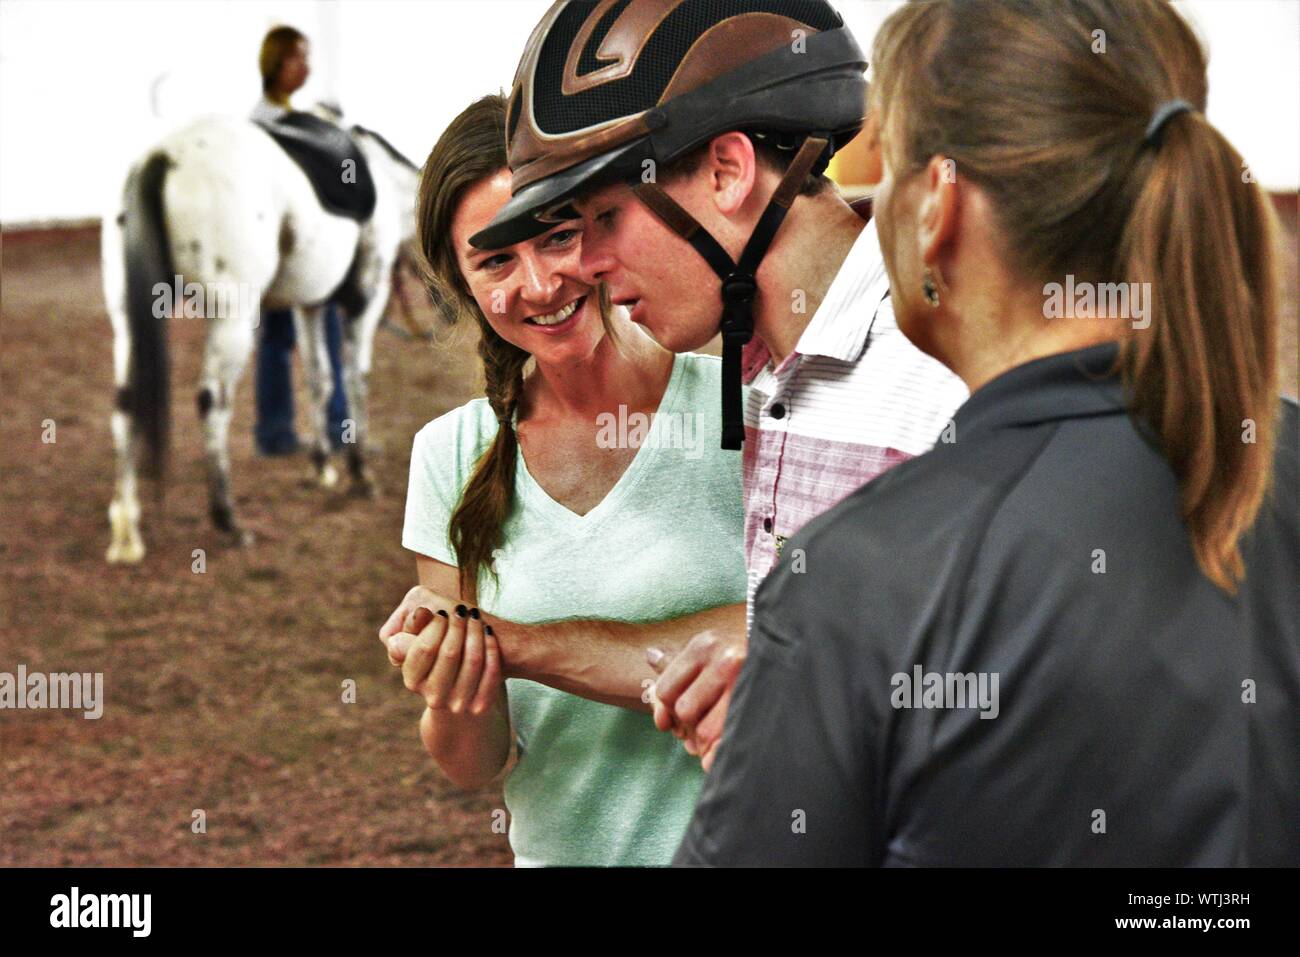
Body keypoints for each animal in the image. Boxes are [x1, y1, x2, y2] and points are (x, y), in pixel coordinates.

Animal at [107, 113, 421, 564]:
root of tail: (162, 157)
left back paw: (126, 533)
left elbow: (320, 381)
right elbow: (355, 379)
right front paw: (361, 472)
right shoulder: (365, 299)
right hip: (233, 318)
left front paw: (321, 466)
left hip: (127, 319)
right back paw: (228, 520)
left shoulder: (310, 305)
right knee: (212, 403)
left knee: (126, 405)